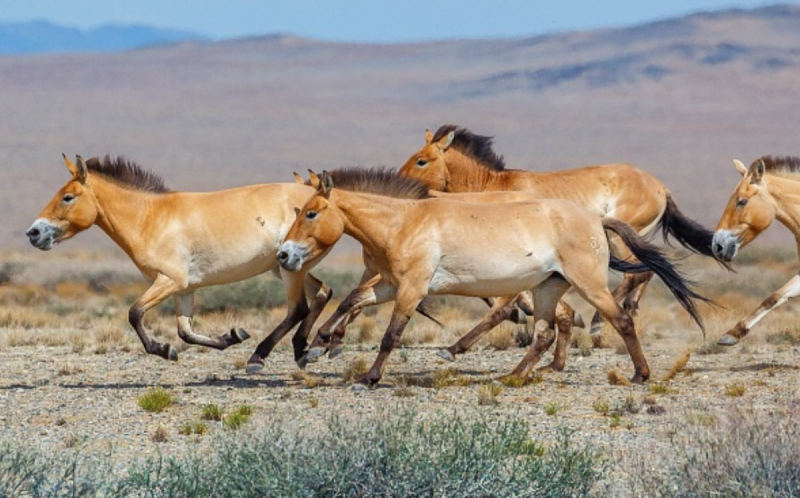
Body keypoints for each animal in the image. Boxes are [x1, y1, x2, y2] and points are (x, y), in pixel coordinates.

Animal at [25, 154, 332, 368]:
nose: (33, 233)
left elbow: (134, 313)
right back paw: (305, 350)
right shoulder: (183, 289)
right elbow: (185, 332)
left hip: (290, 270)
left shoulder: (169, 281)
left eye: (67, 197)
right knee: (322, 292)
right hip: (286, 267)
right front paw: (232, 336)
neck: (151, 218)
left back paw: (260, 357)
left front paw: (164, 350)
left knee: (298, 308)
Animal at [276, 169, 708, 388]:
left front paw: (367, 378)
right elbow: (351, 302)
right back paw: (512, 376)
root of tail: (595, 219)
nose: (284, 254)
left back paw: (640, 374)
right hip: (547, 288)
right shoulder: (389, 285)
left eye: (311, 213)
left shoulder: (412, 290)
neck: (403, 221)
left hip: (588, 285)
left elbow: (390, 335)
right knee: (545, 333)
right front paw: (316, 347)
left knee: (619, 319)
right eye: (298, 210)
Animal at [400, 126, 724, 350]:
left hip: (619, 238)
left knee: (639, 272)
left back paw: (597, 323)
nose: (401, 183)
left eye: (421, 160)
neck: (494, 187)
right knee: (647, 271)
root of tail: (659, 186)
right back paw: (624, 311)